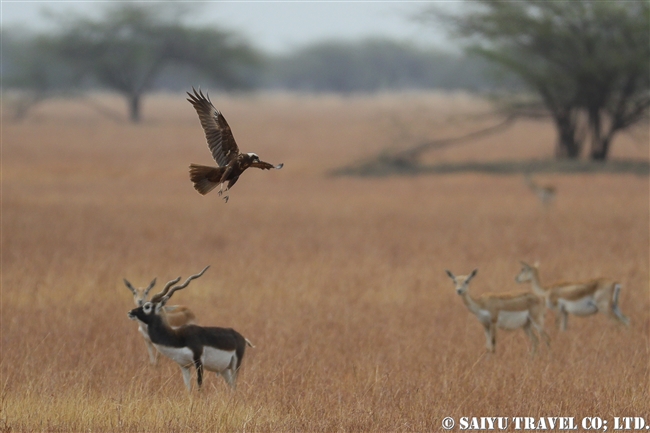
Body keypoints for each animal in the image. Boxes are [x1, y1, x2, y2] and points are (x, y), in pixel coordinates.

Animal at [127, 264, 253, 394]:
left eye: (147, 306)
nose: (130, 312)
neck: (177, 338)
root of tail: (242, 338)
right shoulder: (184, 366)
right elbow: (188, 389)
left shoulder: (198, 362)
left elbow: (199, 386)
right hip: (224, 369)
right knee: (233, 387)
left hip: (235, 366)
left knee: (235, 385)